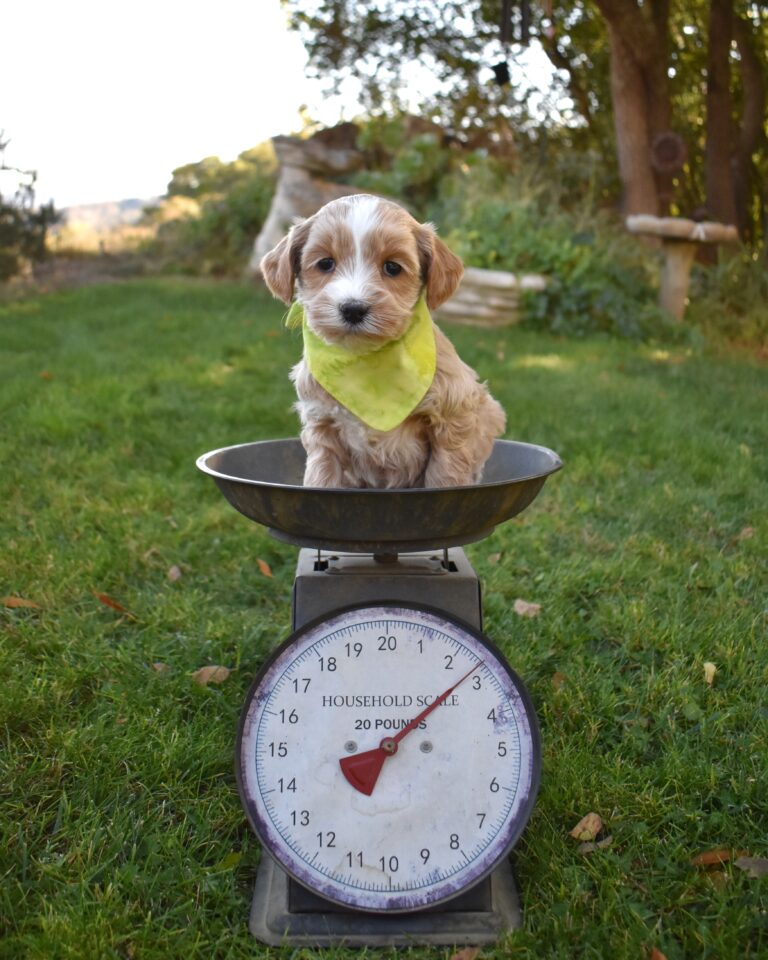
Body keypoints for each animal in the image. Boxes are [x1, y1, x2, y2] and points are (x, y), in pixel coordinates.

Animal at [260, 198, 508, 492]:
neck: (365, 361)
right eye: (325, 263)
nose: (353, 309)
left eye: (392, 267)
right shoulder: (322, 425)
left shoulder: (455, 415)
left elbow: (444, 473)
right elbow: (322, 476)